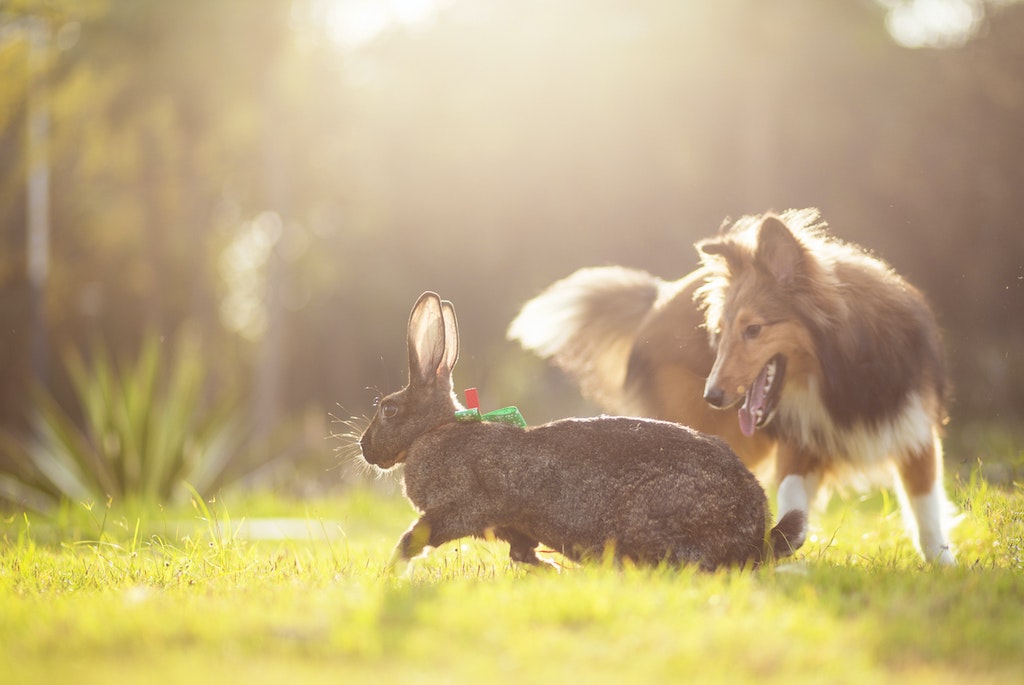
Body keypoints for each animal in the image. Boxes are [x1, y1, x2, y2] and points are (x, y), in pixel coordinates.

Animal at [356, 290, 802, 569]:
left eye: (388, 409)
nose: (364, 448)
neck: (435, 430)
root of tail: (756, 534)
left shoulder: (462, 508)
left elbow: (417, 536)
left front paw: (392, 569)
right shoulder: (513, 527)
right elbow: (522, 552)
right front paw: (550, 570)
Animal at [512, 210, 958, 565]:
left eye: (754, 329)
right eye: (721, 331)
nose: (712, 396)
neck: (838, 372)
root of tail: (659, 295)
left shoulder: (913, 430)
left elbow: (927, 512)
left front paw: (943, 566)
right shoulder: (799, 443)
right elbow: (792, 499)